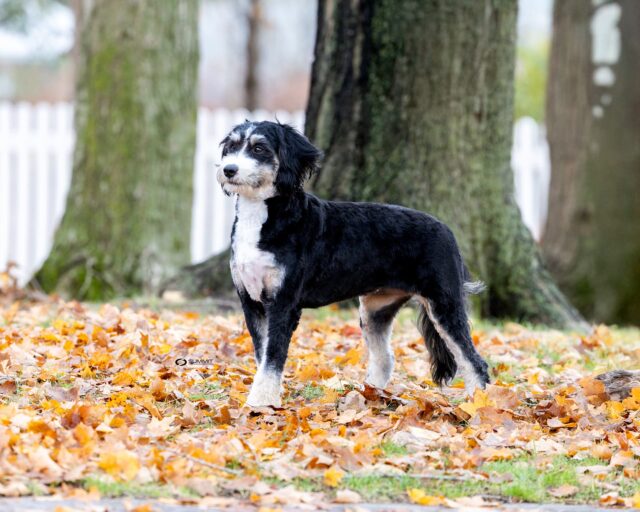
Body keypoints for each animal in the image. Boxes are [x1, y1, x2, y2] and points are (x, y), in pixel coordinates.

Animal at [216, 121, 490, 408]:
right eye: (232, 146)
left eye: (259, 148)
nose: (228, 169)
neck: (264, 216)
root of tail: (447, 230)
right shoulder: (251, 301)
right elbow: (262, 354)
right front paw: (266, 398)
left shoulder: (283, 303)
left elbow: (272, 356)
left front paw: (261, 403)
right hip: (376, 309)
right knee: (384, 359)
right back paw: (370, 396)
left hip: (444, 303)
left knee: (474, 361)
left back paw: (479, 404)